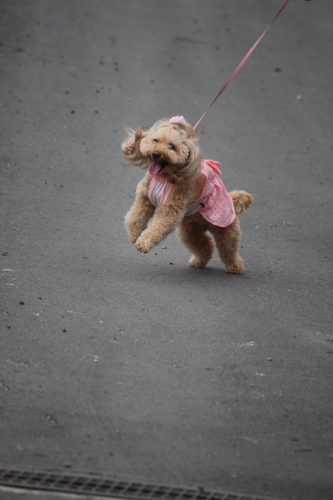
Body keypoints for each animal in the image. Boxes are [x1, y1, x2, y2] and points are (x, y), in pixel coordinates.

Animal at [120, 116, 253, 274]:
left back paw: (235, 267)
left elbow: (157, 227)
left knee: (228, 249)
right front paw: (135, 235)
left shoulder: (170, 212)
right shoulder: (144, 199)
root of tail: (231, 200)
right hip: (190, 231)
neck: (164, 178)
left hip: (225, 230)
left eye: (172, 146)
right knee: (205, 245)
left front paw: (143, 243)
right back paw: (198, 262)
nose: (156, 154)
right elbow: (134, 217)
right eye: (155, 140)